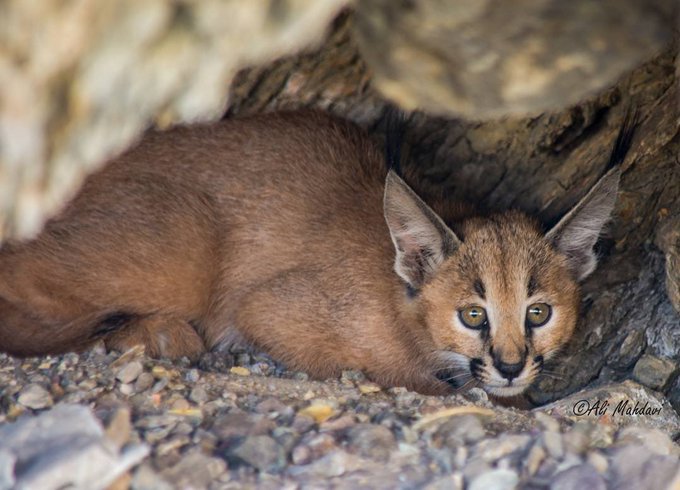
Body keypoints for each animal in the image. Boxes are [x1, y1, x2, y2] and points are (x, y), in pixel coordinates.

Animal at [0, 109, 636, 396]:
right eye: (473, 314)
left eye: (539, 312)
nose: (508, 365)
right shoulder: (268, 308)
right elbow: (396, 372)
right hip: (187, 239)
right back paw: (153, 332)